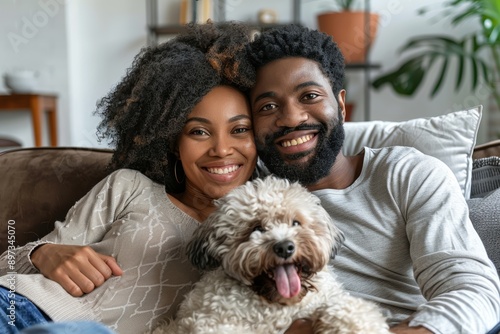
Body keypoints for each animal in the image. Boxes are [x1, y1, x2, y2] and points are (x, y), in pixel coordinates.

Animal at [152, 176, 390, 332]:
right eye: (256, 228)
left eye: (296, 223)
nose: (285, 247)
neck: (280, 305)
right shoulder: (210, 322)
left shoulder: (327, 299)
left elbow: (349, 308)